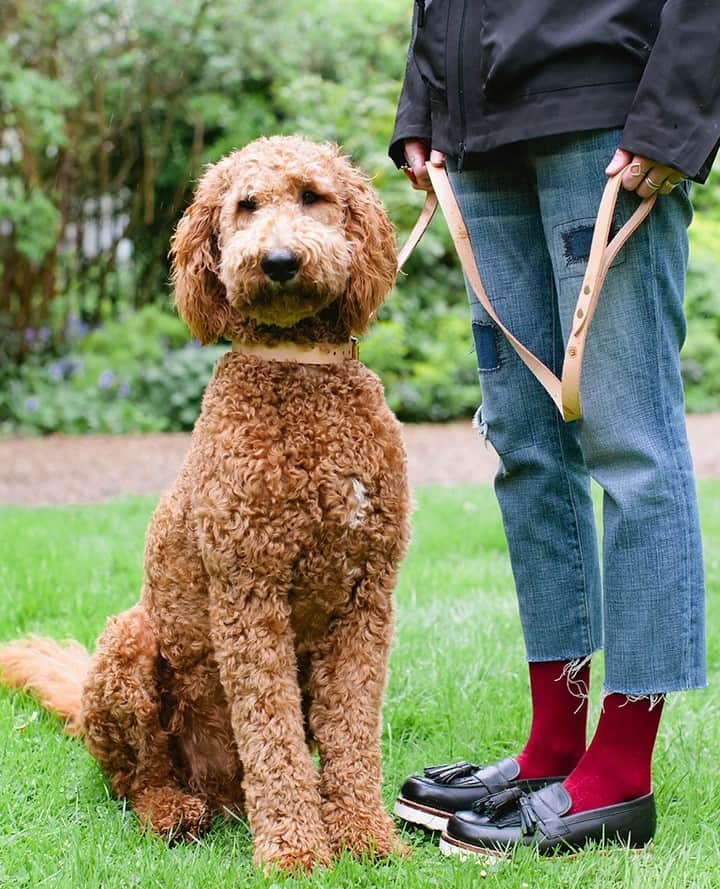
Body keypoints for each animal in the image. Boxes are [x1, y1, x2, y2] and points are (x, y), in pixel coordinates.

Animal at [1, 135, 410, 872]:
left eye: (312, 196)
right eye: (245, 205)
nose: (278, 261)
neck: (298, 372)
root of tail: (217, 795)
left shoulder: (365, 599)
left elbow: (353, 733)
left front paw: (365, 835)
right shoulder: (249, 593)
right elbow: (272, 736)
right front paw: (295, 851)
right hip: (131, 641)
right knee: (136, 779)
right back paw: (173, 813)